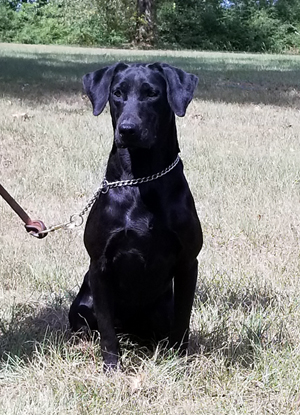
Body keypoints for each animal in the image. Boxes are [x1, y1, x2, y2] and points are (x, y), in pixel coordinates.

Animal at [69, 63, 203, 372]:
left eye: (152, 93)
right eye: (117, 93)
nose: (127, 129)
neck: (142, 179)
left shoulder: (188, 262)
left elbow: (183, 320)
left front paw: (179, 361)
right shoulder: (100, 265)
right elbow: (106, 329)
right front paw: (111, 368)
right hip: (82, 305)